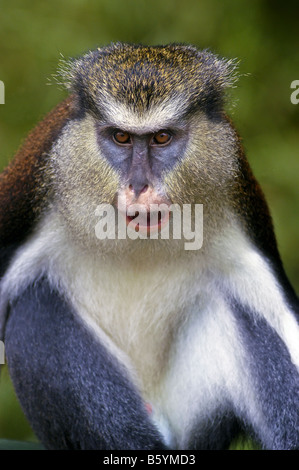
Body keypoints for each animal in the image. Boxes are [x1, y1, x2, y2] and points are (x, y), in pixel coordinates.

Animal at [0, 42, 299, 450]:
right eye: (121, 138)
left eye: (161, 138)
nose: (139, 186)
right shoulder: (31, 194)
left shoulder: (236, 195)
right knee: (36, 309)